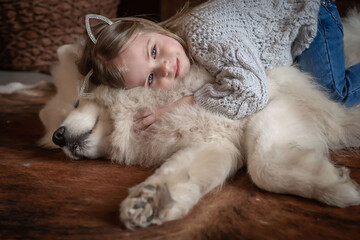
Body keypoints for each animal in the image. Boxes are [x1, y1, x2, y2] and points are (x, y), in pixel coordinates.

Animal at [38, 12, 360, 230]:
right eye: (55, 126)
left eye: (76, 102)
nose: (58, 136)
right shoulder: (212, 143)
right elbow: (178, 174)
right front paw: (152, 201)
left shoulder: (274, 102)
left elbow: (264, 166)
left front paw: (337, 189)